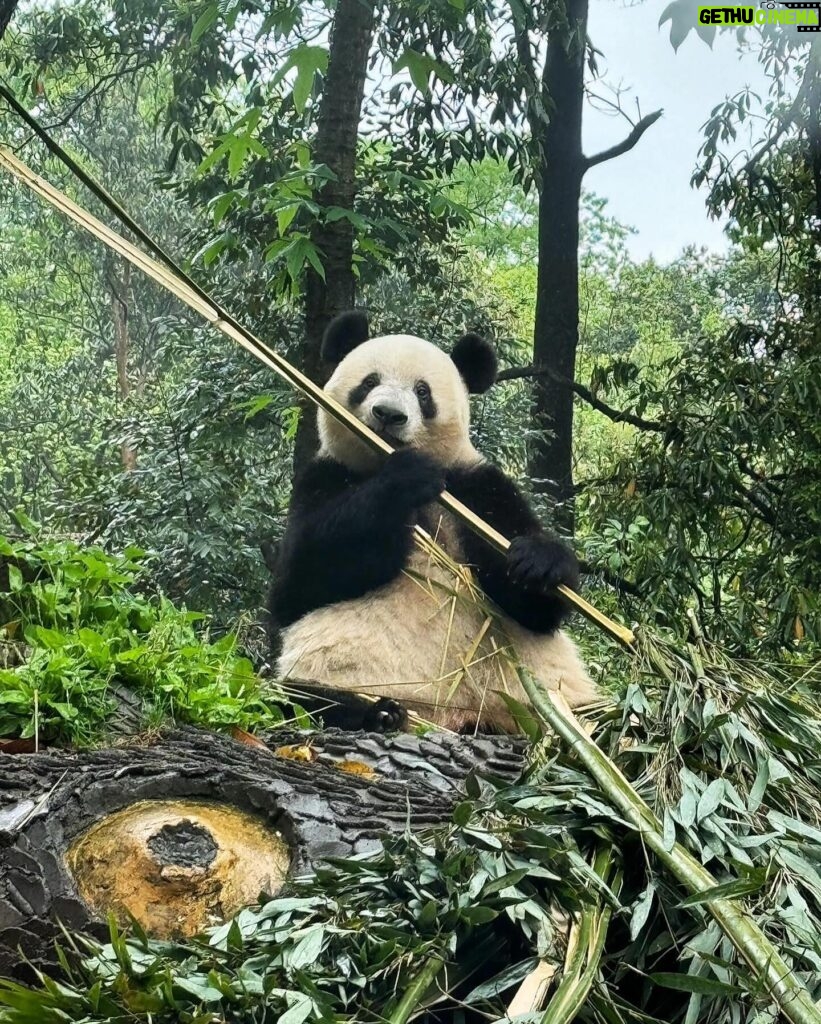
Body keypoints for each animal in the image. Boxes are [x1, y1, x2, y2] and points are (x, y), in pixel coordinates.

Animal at [268, 307, 593, 733]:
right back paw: (378, 712)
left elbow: (536, 609)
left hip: (538, 699)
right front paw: (405, 479)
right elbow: (298, 584)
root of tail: (449, 718)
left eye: (423, 392)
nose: (388, 415)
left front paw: (538, 563)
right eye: (369, 382)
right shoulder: (324, 476)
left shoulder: (477, 485)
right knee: (302, 696)